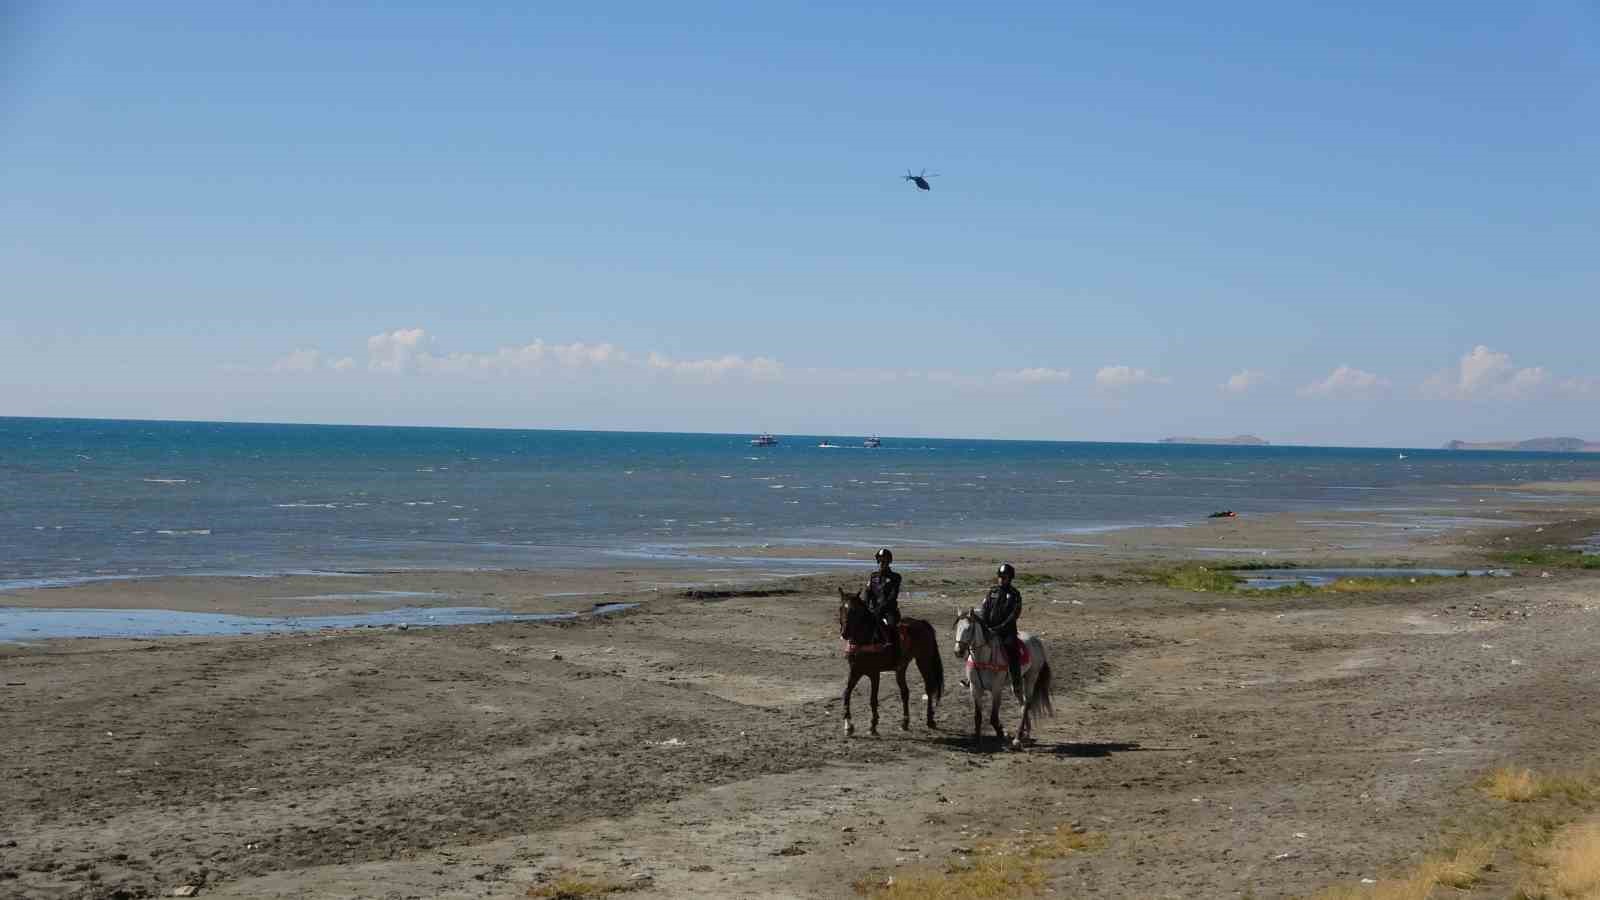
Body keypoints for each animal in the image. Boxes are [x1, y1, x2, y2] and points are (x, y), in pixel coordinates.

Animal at [832, 586, 940, 733]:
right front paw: (848, 725)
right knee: (905, 692)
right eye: (841, 608)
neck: (866, 640)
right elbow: (846, 693)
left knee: (929, 688)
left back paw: (930, 720)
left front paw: (873, 725)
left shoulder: (874, 674)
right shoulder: (855, 671)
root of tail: (922, 623)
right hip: (901, 667)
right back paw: (905, 722)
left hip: (923, 660)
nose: (844, 633)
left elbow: (873, 699)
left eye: (854, 610)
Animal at [953, 605, 1056, 746]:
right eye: (957, 627)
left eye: (969, 629)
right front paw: (977, 740)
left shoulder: (997, 689)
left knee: (1027, 703)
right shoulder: (975, 689)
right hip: (1017, 683)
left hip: (1031, 677)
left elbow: (993, 718)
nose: (958, 651)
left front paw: (1002, 733)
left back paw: (1017, 738)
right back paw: (1026, 733)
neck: (984, 658)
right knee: (1022, 703)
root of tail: (1037, 641)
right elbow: (978, 716)